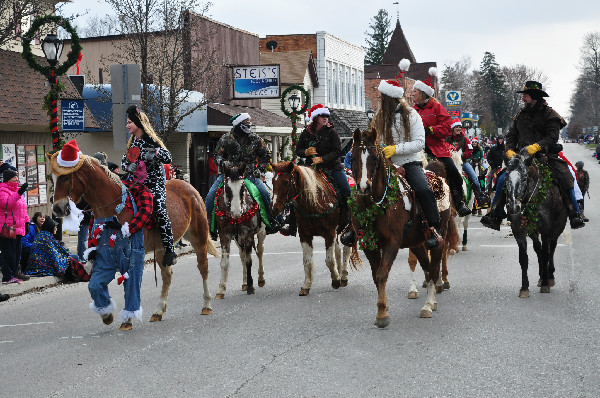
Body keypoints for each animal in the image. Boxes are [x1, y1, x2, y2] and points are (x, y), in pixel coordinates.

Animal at [48, 153, 219, 320]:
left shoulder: (129, 253)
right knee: (167, 275)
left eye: (65, 177)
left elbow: (130, 283)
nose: (57, 208)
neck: (112, 206)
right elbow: (97, 282)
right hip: (161, 248)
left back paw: (207, 304)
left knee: (203, 267)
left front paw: (128, 317)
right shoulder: (105, 253)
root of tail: (189, 188)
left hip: (199, 237)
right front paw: (106, 311)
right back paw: (159, 310)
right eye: (52, 178)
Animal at [213, 162, 264, 298]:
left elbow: (249, 261)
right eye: (227, 189)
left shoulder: (248, 234)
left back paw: (260, 279)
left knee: (260, 252)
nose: (236, 213)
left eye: (242, 188)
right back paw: (245, 282)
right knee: (242, 255)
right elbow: (225, 262)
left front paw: (251, 287)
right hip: (238, 238)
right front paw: (221, 290)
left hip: (261, 232)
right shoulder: (224, 235)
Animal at [270, 161, 352, 296]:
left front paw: (335, 280)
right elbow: (307, 261)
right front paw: (306, 286)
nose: (274, 209)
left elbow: (329, 260)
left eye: (286, 182)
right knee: (338, 251)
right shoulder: (305, 235)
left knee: (346, 250)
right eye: (272, 181)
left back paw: (343, 276)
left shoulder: (329, 233)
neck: (314, 203)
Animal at [502, 151, 568, 296]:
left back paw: (549, 276)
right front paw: (524, 287)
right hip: (533, 230)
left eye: (524, 178)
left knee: (551, 248)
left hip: (558, 227)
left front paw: (545, 284)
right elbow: (523, 258)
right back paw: (541, 275)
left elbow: (546, 254)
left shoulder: (547, 230)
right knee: (538, 247)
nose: (514, 207)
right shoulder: (518, 230)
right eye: (506, 178)